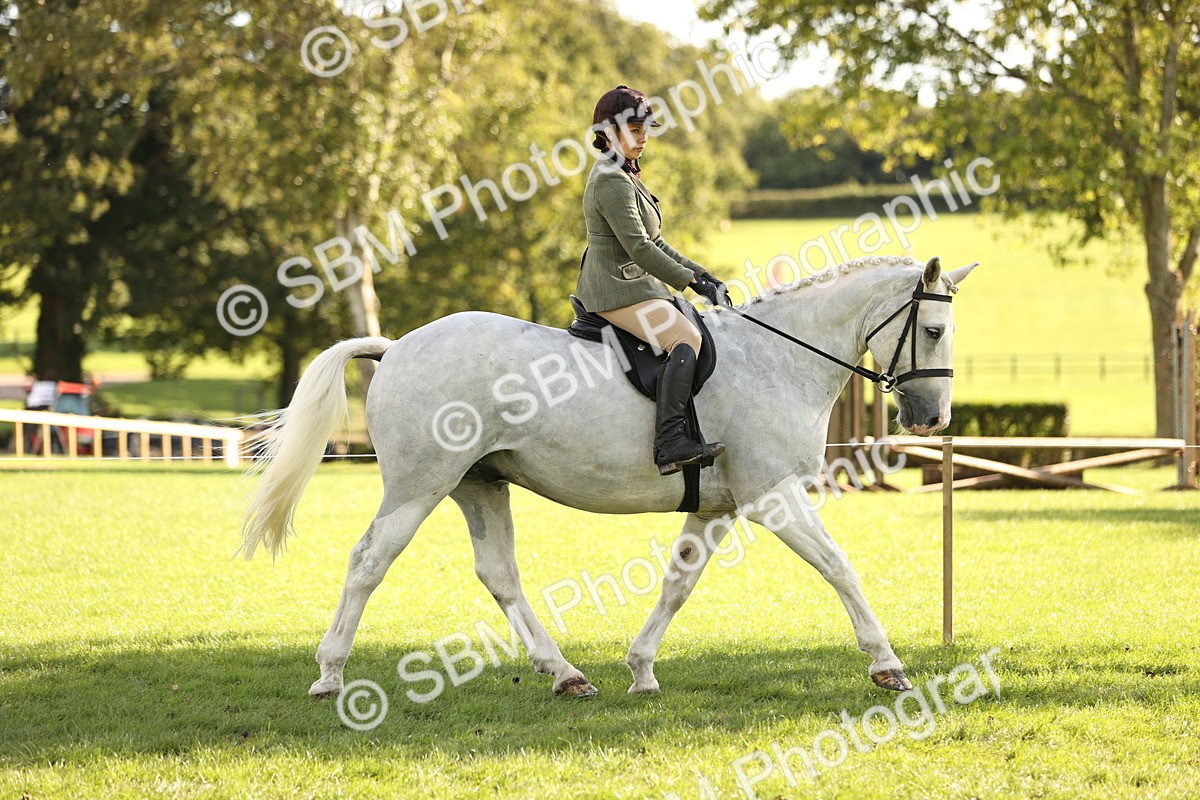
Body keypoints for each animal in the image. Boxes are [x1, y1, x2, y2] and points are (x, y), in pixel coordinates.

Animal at [241, 255, 977, 698]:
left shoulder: (716, 507)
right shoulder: (774, 497)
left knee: (499, 574)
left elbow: (678, 584)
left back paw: (565, 674)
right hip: (419, 486)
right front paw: (887, 665)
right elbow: (840, 568)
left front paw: (641, 669)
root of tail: (394, 347)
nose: (933, 417)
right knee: (369, 561)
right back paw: (329, 676)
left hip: (479, 483)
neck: (779, 358)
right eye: (935, 330)